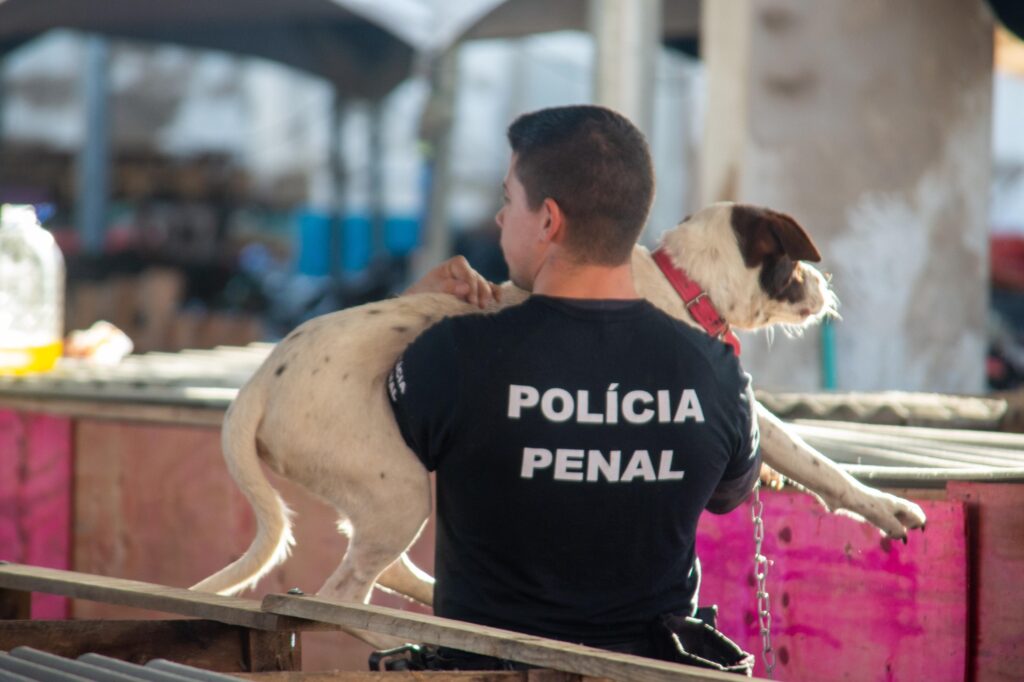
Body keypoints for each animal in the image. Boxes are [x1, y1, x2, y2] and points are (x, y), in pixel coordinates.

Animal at [190, 200, 929, 638]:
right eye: (797, 261)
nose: (828, 291)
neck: (682, 284)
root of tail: (257, 382)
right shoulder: (738, 397)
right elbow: (814, 460)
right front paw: (886, 507)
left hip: (385, 487)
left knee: (379, 567)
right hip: (394, 487)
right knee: (340, 592)